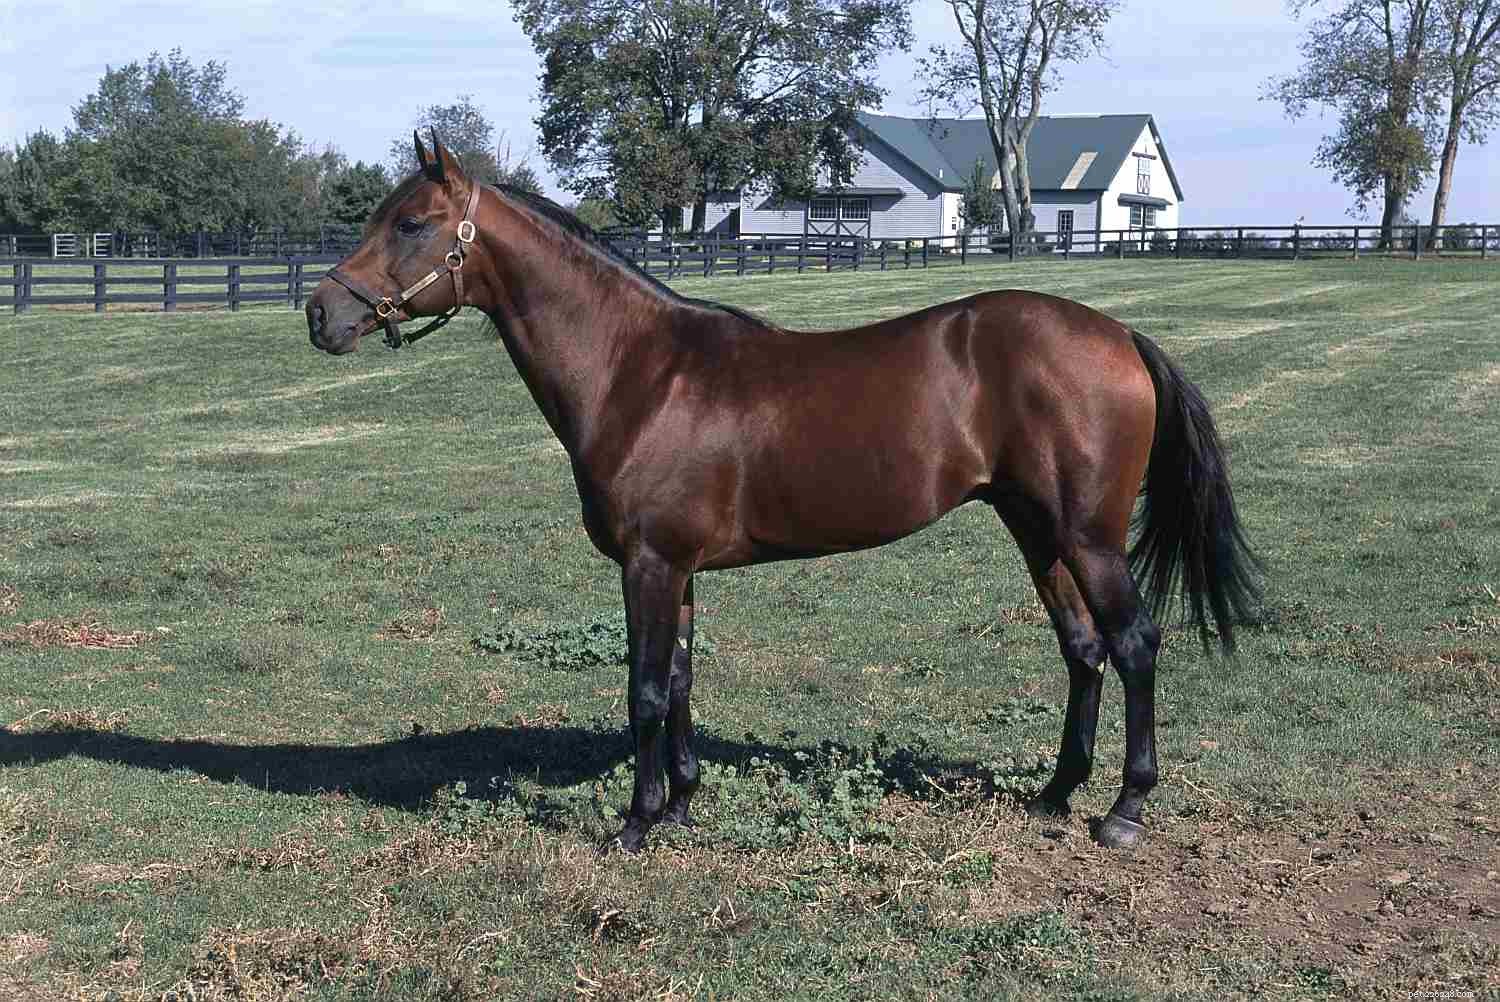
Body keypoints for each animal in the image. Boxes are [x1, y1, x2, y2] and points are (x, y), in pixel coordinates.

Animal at [305, 133, 1260, 852]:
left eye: (413, 223)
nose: (321, 315)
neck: (639, 372)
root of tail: (1120, 336)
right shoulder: (679, 569)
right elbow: (680, 679)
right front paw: (683, 805)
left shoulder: (649, 564)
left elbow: (643, 689)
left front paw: (636, 825)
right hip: (1037, 531)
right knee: (1082, 650)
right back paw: (1056, 793)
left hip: (1089, 538)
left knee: (1133, 645)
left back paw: (1125, 811)